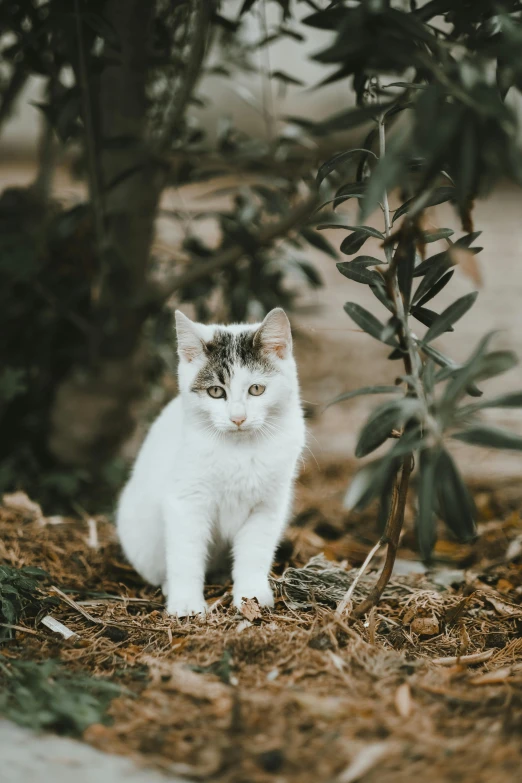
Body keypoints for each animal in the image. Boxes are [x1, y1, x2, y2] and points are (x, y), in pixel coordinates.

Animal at [117, 306, 304, 620]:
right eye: (216, 392)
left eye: (256, 389)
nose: (238, 418)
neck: (239, 450)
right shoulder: (186, 502)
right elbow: (186, 555)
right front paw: (186, 603)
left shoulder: (266, 507)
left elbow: (254, 553)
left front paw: (251, 595)